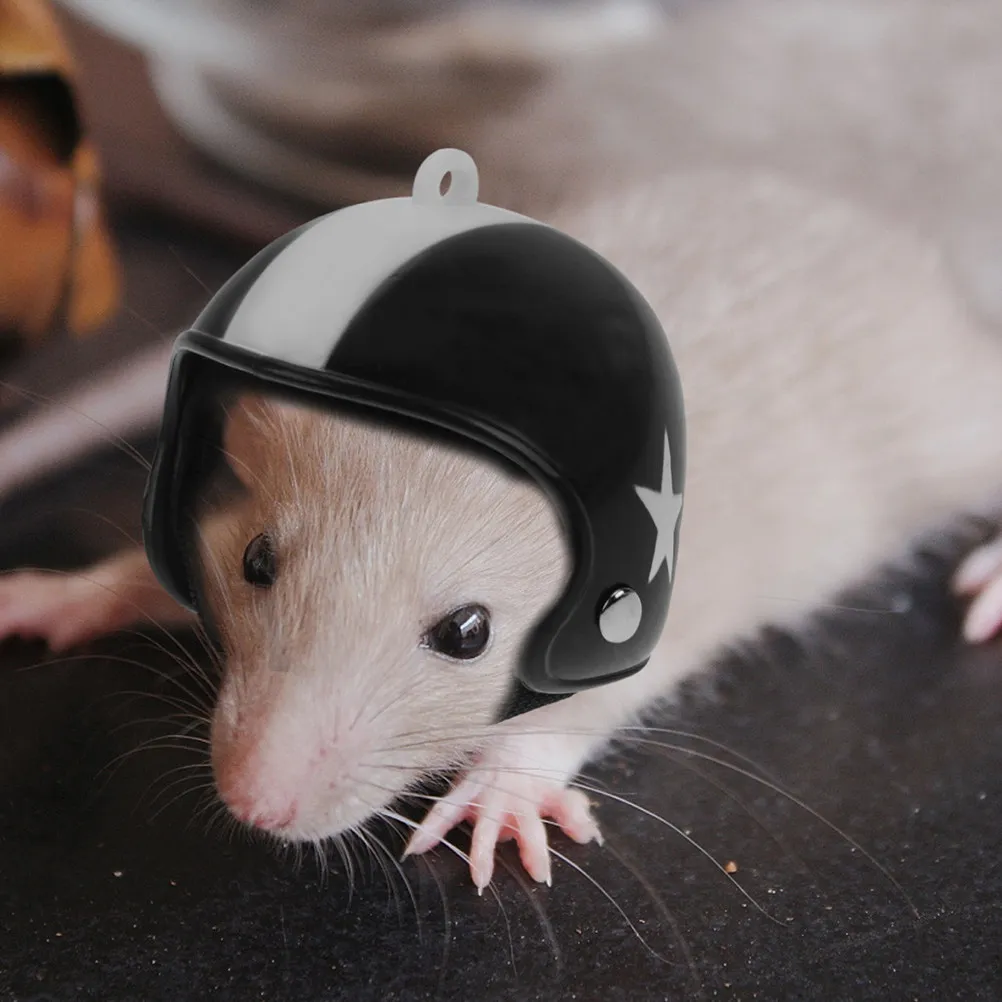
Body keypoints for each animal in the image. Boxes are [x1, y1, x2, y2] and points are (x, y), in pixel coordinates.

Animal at [1, 167, 1002, 891]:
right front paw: (70, 593)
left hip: (937, 412)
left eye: (467, 633)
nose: (256, 805)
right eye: (256, 560)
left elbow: (587, 702)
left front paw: (504, 786)